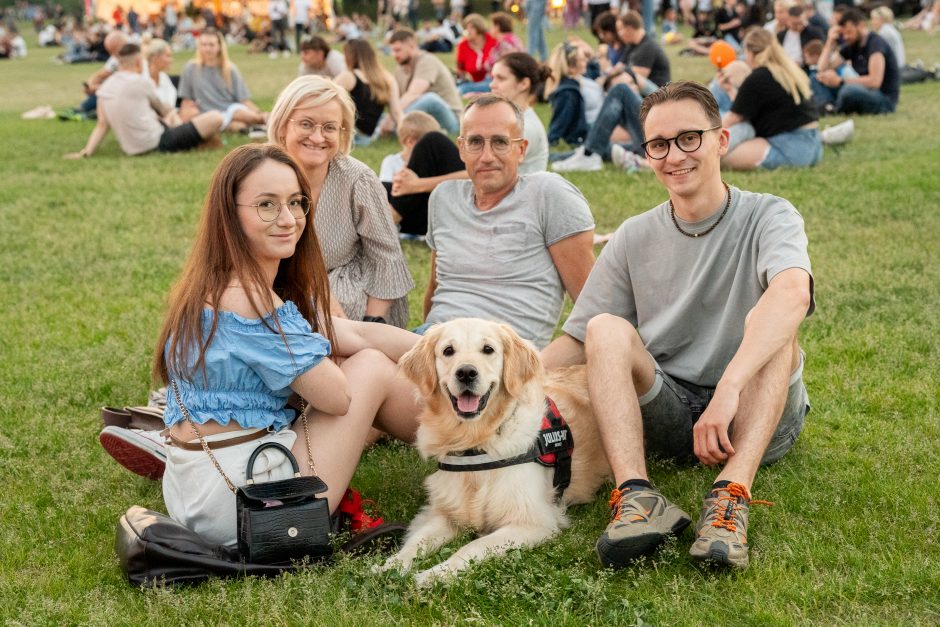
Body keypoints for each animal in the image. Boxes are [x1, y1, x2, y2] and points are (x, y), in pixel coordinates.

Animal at [380, 322, 608, 588]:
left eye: (488, 349)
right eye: (448, 351)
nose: (466, 373)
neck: (476, 443)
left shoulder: (533, 521)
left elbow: (472, 546)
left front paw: (435, 574)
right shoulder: (446, 512)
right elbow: (418, 541)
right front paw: (390, 565)